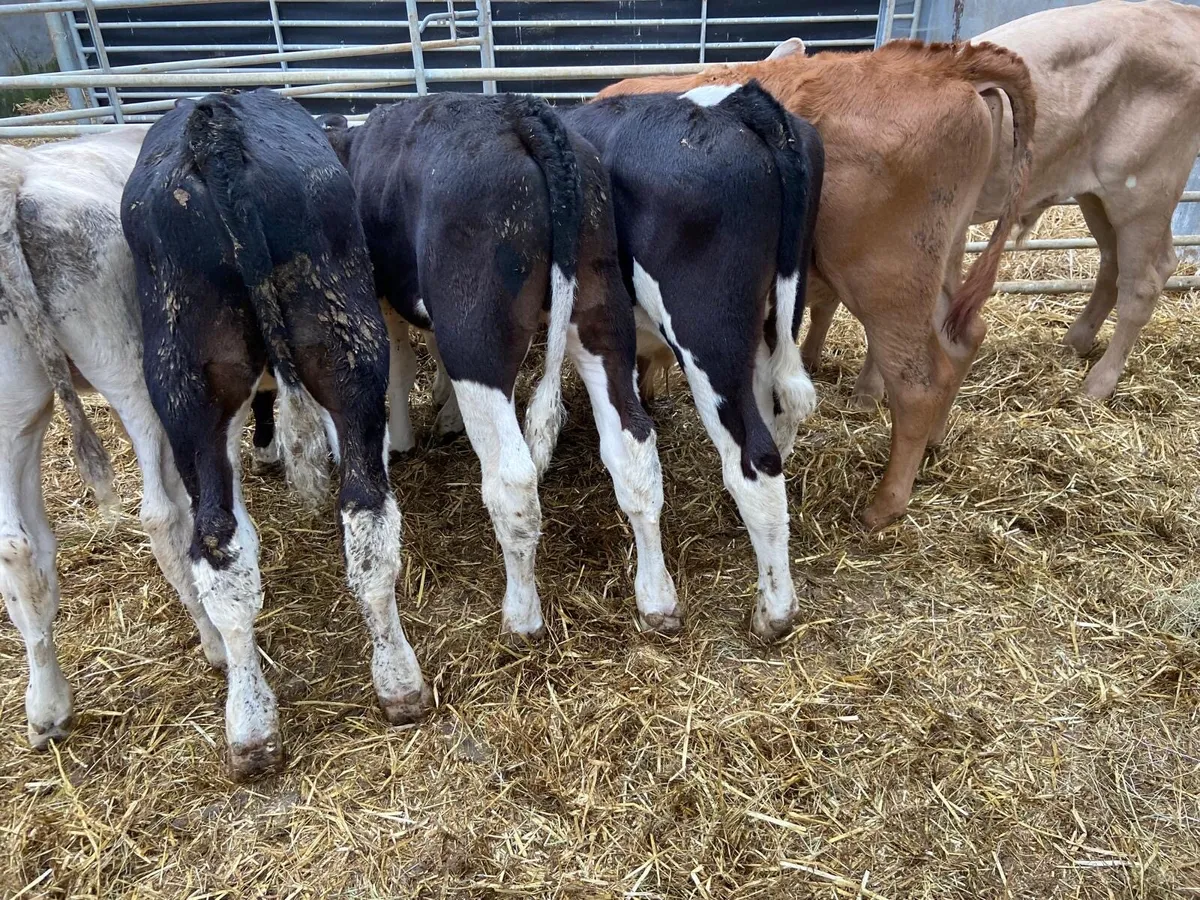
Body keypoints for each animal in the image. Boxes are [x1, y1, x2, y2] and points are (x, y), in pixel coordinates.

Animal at [0, 129, 231, 752]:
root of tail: (14, 182)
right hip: (128, 368)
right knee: (158, 516)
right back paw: (214, 641)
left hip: (14, 413)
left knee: (20, 549)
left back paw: (47, 706)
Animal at [318, 93, 681, 640]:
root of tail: (523, 114)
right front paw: (442, 414)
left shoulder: (382, 298)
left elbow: (401, 363)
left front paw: (402, 436)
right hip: (602, 312)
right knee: (633, 448)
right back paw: (657, 598)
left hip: (477, 338)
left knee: (513, 479)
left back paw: (522, 615)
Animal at [557, 83, 824, 642]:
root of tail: (738, 104)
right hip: (773, 319)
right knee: (779, 419)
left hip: (706, 334)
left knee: (754, 457)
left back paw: (771, 609)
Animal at [597, 40, 1036, 530]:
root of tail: (945, 63)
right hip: (940, 261)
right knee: (964, 339)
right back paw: (935, 442)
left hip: (886, 278)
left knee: (917, 384)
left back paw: (884, 504)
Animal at [801, 0, 1200, 401]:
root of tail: (1180, 13)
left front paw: (866, 392)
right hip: (1097, 195)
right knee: (1120, 262)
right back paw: (1076, 340)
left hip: (1144, 190)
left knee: (1142, 284)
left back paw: (1099, 383)